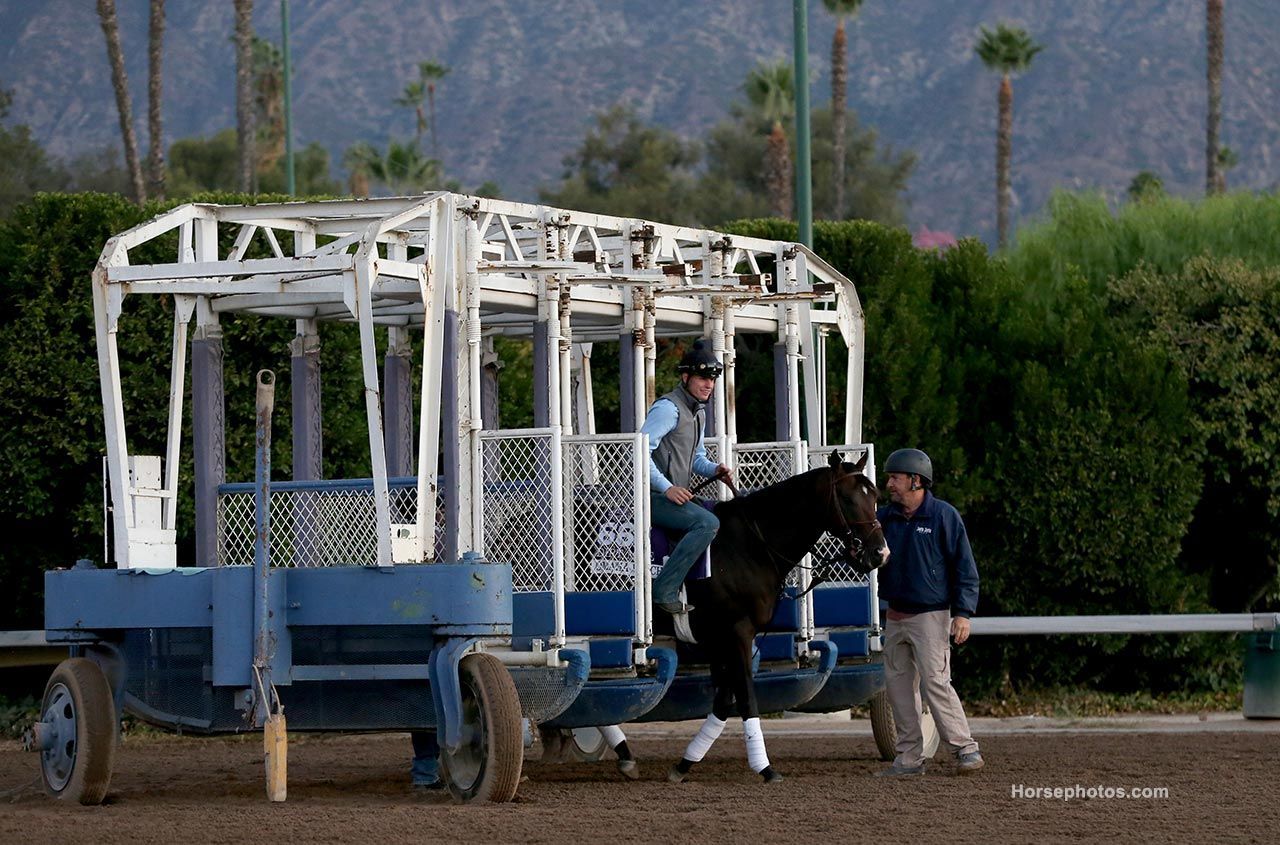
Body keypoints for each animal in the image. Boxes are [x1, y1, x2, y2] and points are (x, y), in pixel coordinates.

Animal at [655, 453, 885, 783]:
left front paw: (684, 763)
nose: (880, 553)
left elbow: (724, 701)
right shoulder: (736, 632)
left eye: (875, 497)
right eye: (847, 498)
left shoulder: (722, 640)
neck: (750, 546)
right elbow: (747, 698)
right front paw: (765, 767)